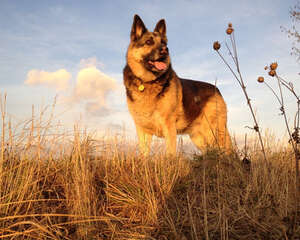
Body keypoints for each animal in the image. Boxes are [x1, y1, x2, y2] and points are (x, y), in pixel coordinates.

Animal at [123, 14, 231, 156]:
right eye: (148, 42)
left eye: (164, 43)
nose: (165, 50)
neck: (147, 82)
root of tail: (216, 89)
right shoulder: (142, 130)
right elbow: (144, 155)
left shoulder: (169, 126)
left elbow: (170, 153)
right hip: (200, 138)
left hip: (215, 133)